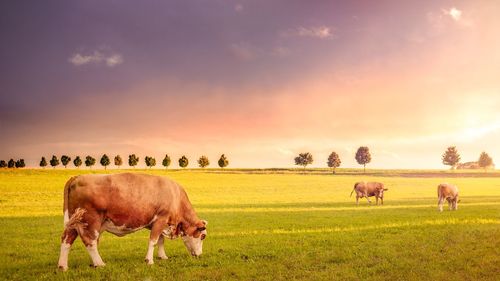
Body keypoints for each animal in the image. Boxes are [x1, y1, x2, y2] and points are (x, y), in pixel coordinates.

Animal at [57, 172, 208, 270]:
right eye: (202, 236)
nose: (200, 255)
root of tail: (77, 177)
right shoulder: (161, 219)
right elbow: (153, 241)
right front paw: (149, 260)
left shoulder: (160, 223)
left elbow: (160, 240)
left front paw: (162, 256)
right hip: (90, 221)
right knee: (90, 242)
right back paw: (99, 264)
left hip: (74, 223)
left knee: (66, 240)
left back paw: (63, 266)